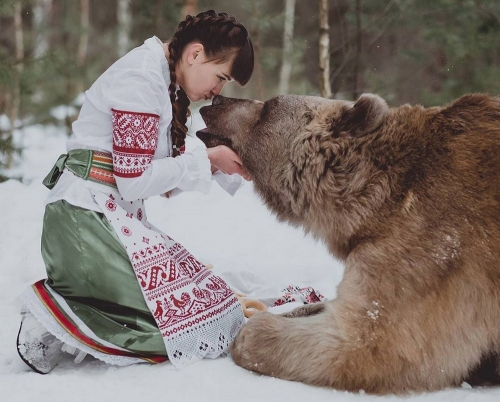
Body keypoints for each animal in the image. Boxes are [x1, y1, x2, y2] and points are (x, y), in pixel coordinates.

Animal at [197, 92, 500, 394]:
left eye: (269, 107)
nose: (218, 100)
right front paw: (296, 310)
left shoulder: (432, 249)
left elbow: (370, 342)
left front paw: (251, 331)